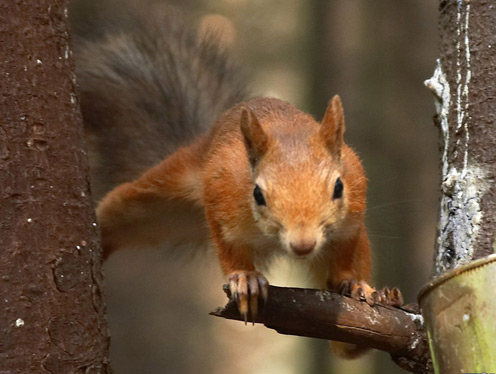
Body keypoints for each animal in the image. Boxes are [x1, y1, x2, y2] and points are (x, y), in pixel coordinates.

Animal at [77, 5, 404, 360]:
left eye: (339, 188)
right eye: (258, 194)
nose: (303, 245)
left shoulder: (352, 218)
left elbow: (344, 256)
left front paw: (353, 284)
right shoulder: (222, 195)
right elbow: (228, 245)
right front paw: (245, 281)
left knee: (348, 346)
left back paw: (380, 297)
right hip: (158, 197)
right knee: (119, 210)